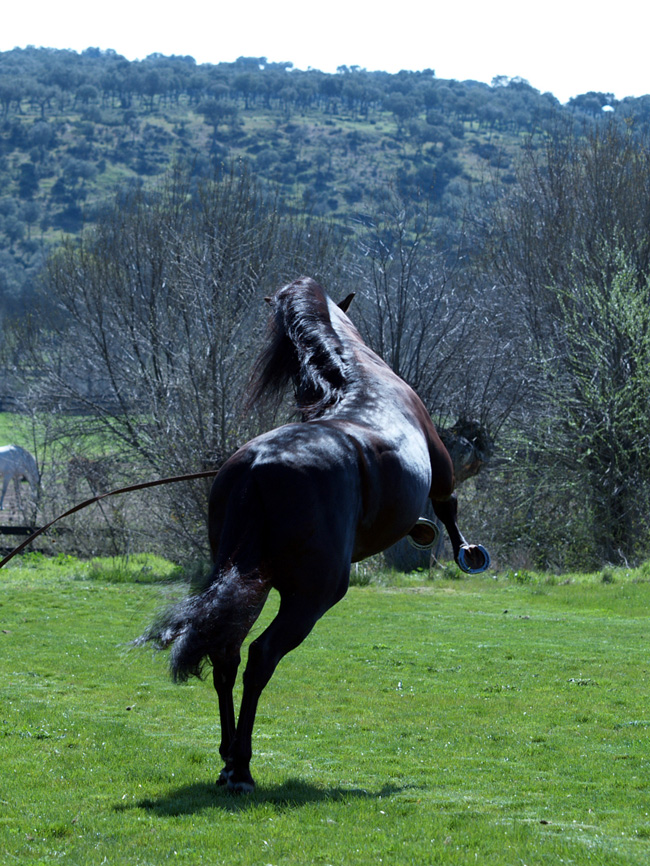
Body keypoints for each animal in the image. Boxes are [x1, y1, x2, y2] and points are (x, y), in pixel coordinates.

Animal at [143, 276, 486, 788]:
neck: (361, 378)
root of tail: (257, 465)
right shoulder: (441, 464)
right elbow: (448, 505)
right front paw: (465, 550)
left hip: (247, 578)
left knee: (226, 654)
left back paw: (227, 758)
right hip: (312, 592)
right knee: (261, 656)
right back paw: (241, 765)